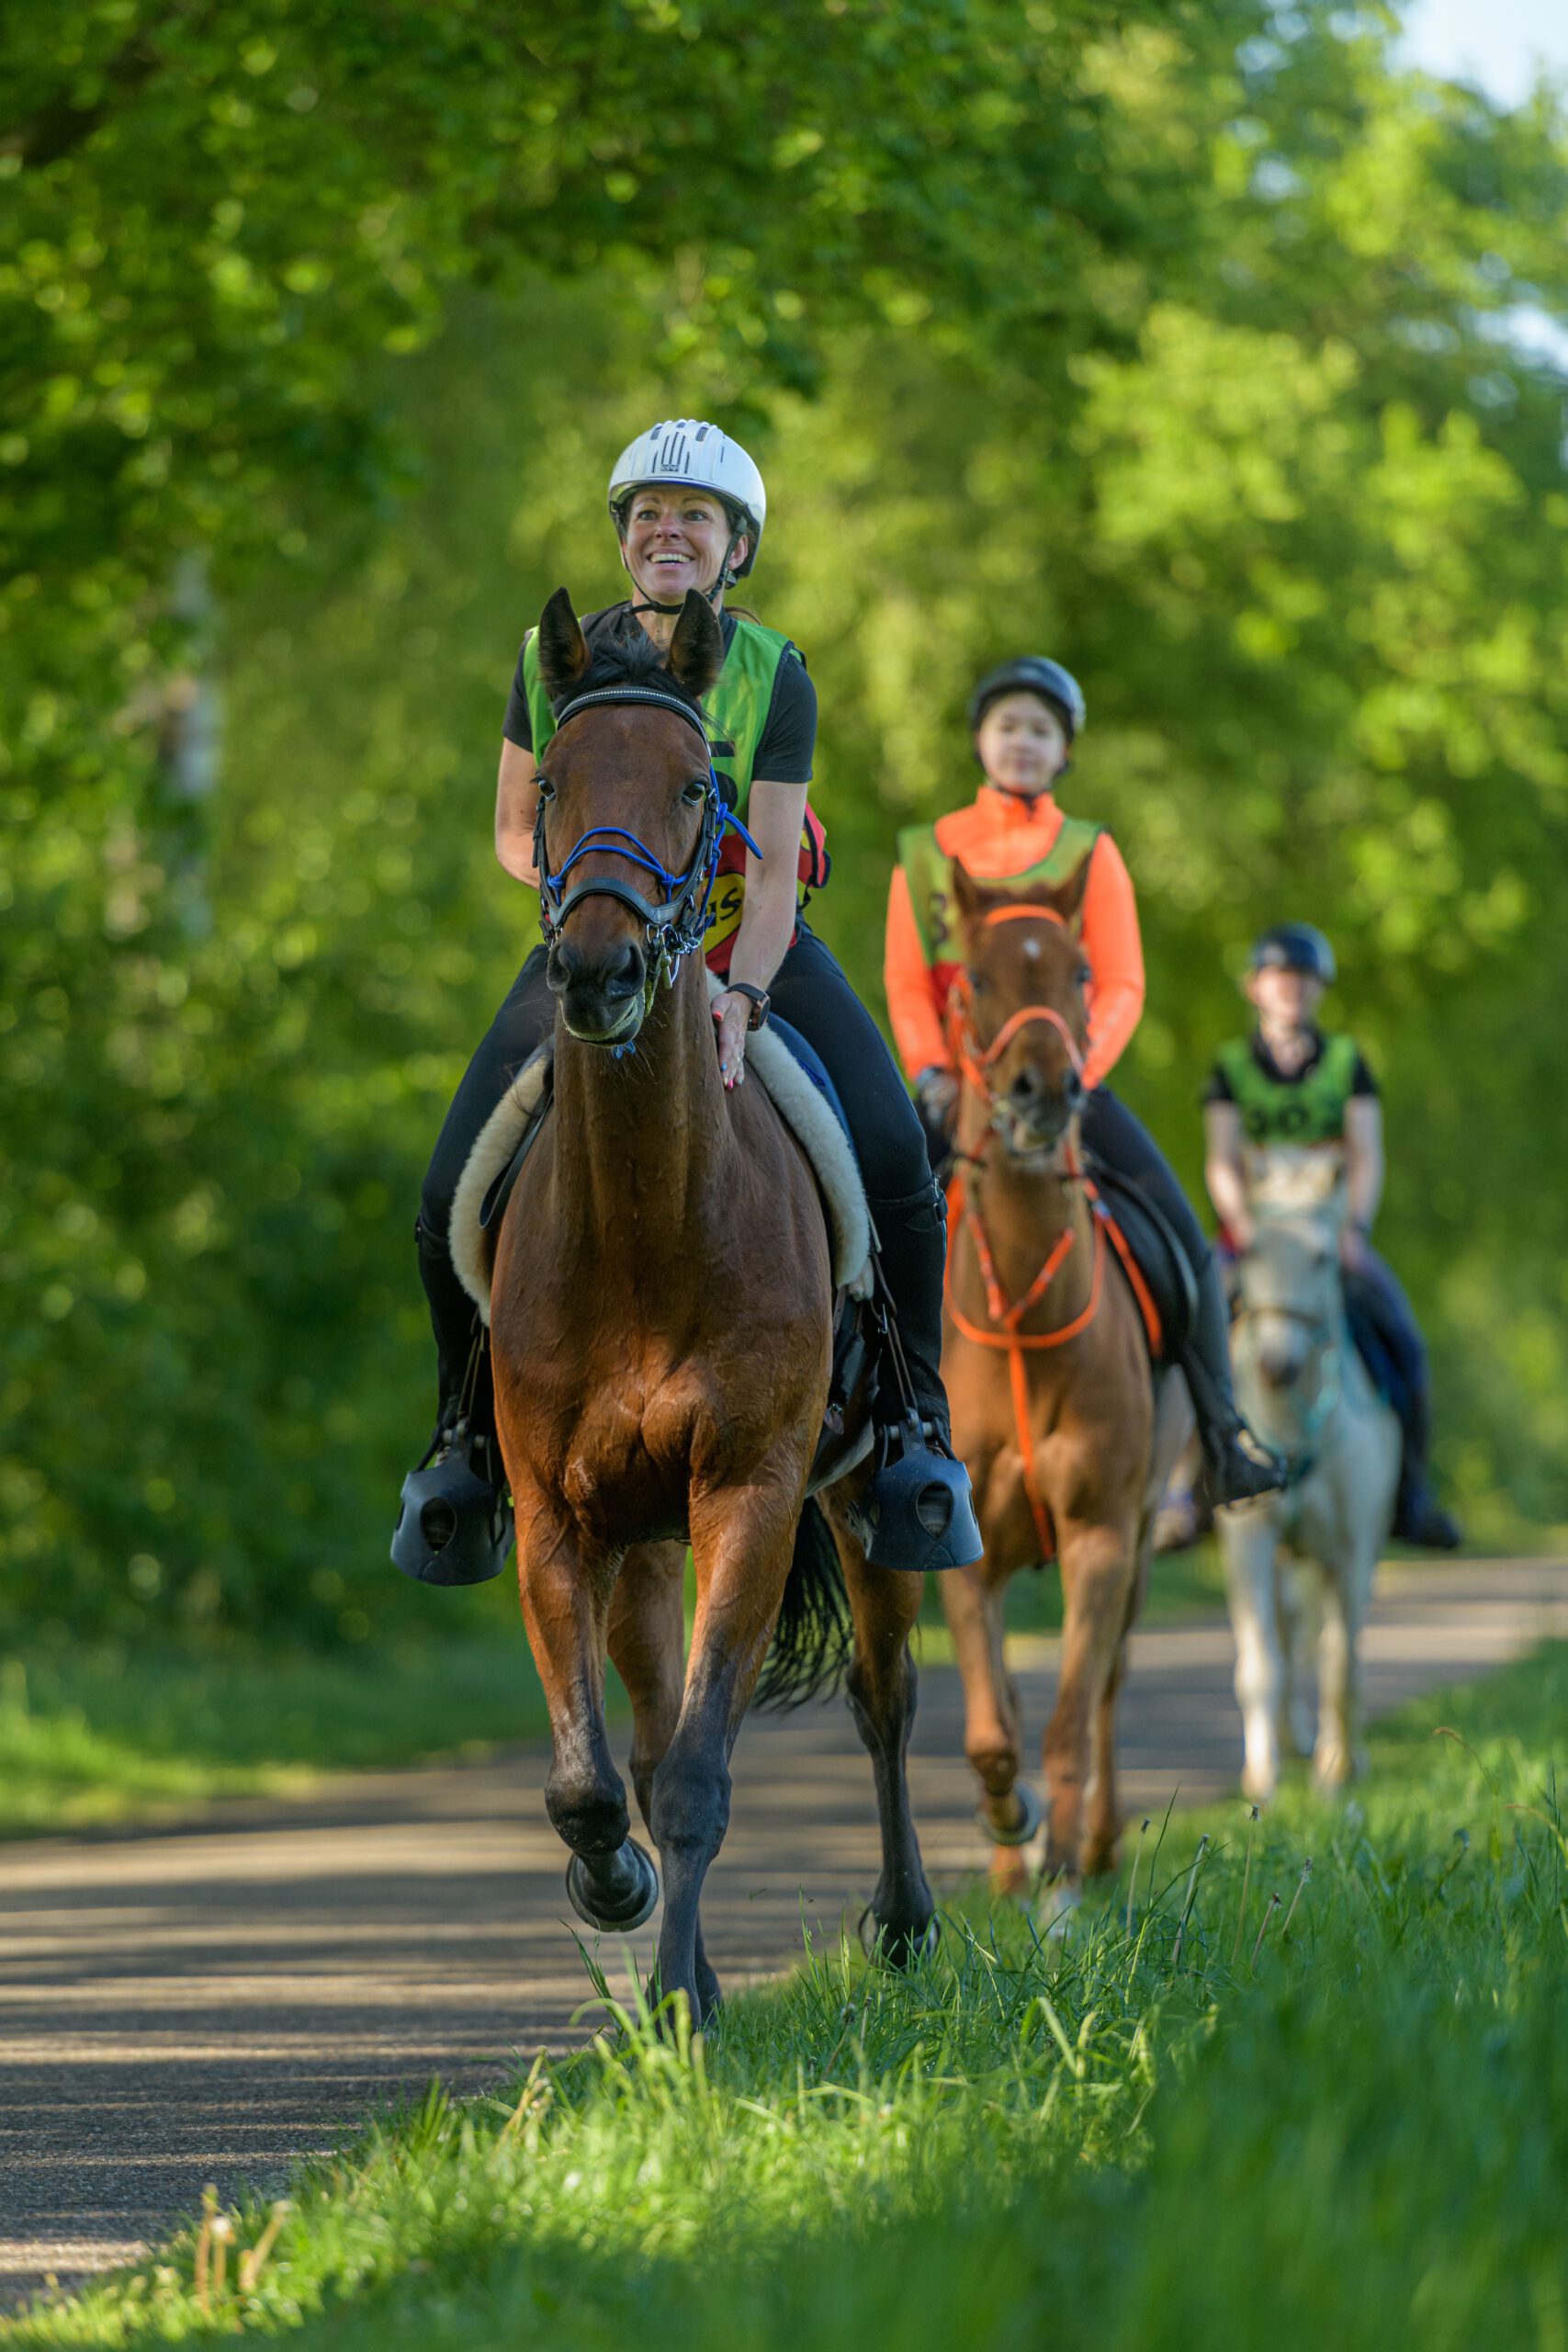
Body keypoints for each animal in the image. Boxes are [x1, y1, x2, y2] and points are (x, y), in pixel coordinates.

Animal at [1217, 1169, 1400, 1802]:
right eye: (1250, 1249)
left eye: (1323, 1257)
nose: (1277, 1364)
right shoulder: (1250, 1541)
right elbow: (1261, 1662)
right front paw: (1261, 1779)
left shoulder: (1348, 1550)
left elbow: (1340, 1661)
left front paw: (1336, 1771)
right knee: (1290, 1628)